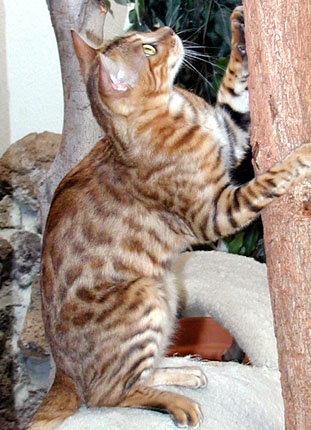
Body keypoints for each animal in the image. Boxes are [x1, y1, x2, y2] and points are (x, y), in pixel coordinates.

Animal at [27, 6, 311, 430]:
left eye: (147, 36)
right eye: (148, 48)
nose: (168, 29)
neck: (179, 108)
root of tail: (61, 373)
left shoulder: (232, 132)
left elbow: (235, 87)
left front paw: (240, 26)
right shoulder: (214, 212)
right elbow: (268, 180)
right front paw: (302, 154)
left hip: (167, 289)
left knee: (133, 376)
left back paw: (184, 370)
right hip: (145, 293)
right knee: (105, 394)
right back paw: (177, 403)